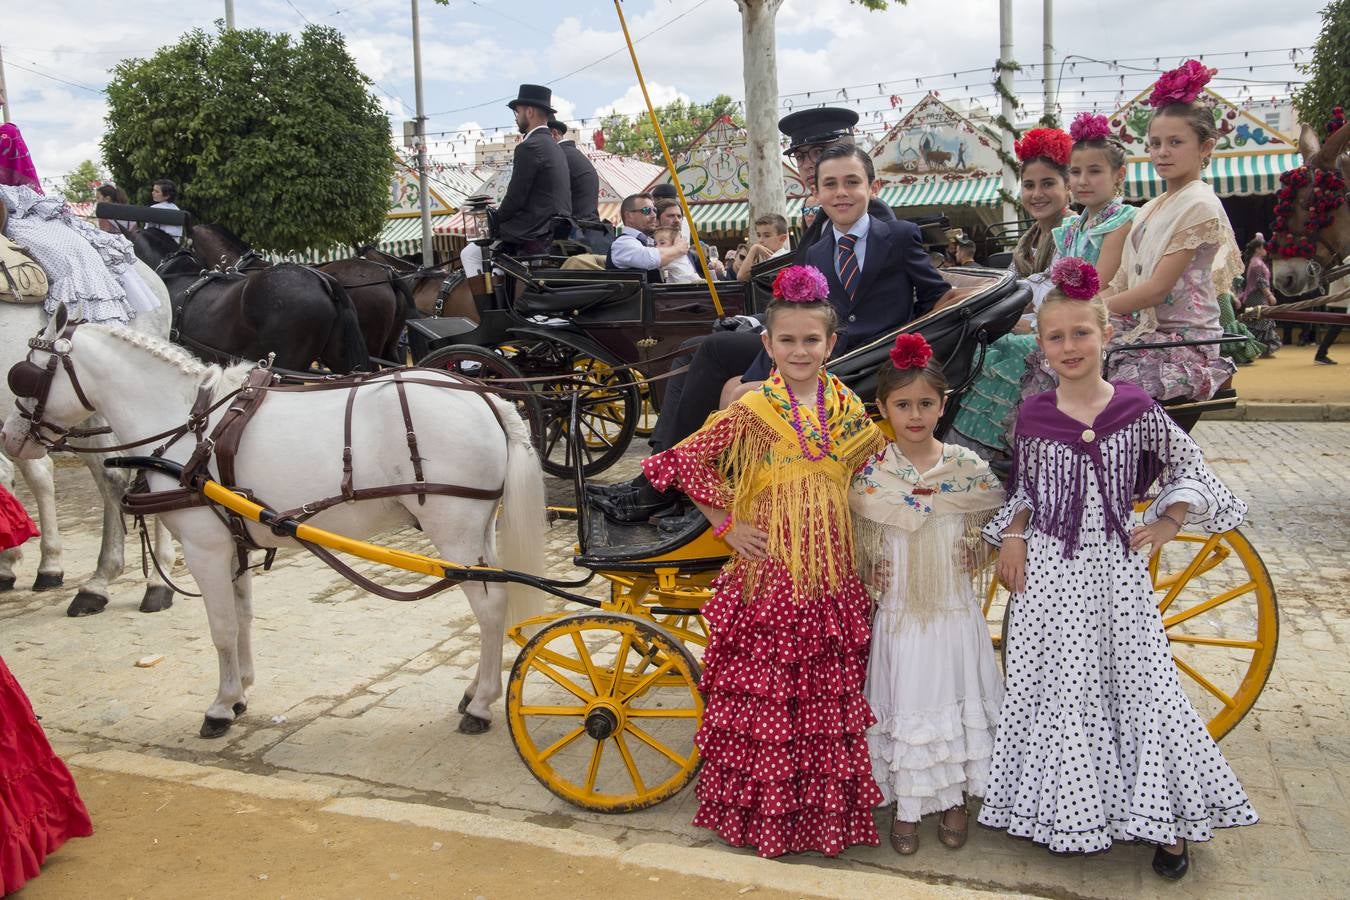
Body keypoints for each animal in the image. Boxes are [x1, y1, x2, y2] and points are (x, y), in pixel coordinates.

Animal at [2, 310, 548, 739]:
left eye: (21, 376)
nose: (9, 437)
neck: (190, 424)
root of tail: (488, 399)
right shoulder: (233, 543)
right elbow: (242, 618)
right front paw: (240, 692)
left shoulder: (204, 548)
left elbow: (221, 626)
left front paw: (219, 708)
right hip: (478, 531)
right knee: (494, 599)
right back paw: (474, 692)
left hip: (452, 530)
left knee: (489, 606)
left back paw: (482, 706)